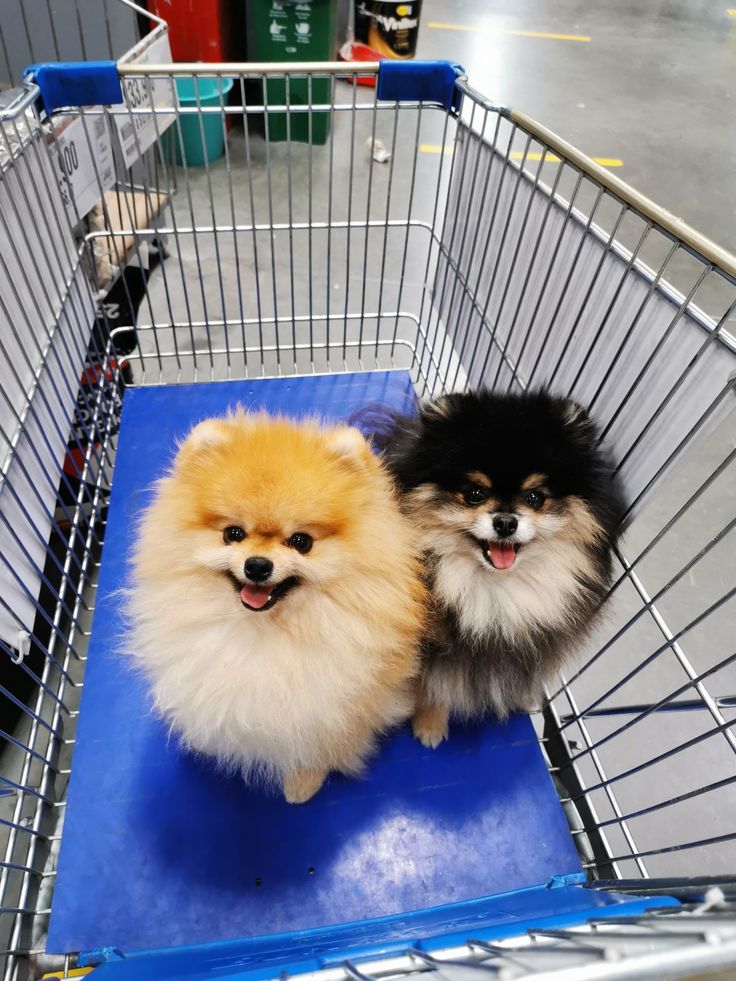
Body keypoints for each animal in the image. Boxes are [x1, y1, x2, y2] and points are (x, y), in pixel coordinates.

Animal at [129, 414, 422, 804]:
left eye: (301, 541)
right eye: (233, 533)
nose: (257, 565)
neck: (263, 631)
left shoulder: (336, 709)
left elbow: (319, 747)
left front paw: (304, 782)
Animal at [380, 386, 628, 748]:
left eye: (535, 497)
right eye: (474, 493)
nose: (506, 522)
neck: (495, 589)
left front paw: (522, 698)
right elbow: (432, 687)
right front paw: (430, 725)